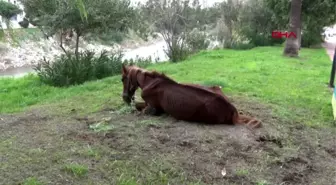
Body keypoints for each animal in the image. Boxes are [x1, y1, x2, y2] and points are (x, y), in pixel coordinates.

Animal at [121, 64, 262, 129]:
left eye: (122, 79)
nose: (125, 98)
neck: (149, 82)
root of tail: (232, 110)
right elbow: (137, 105)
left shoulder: (152, 110)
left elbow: (137, 109)